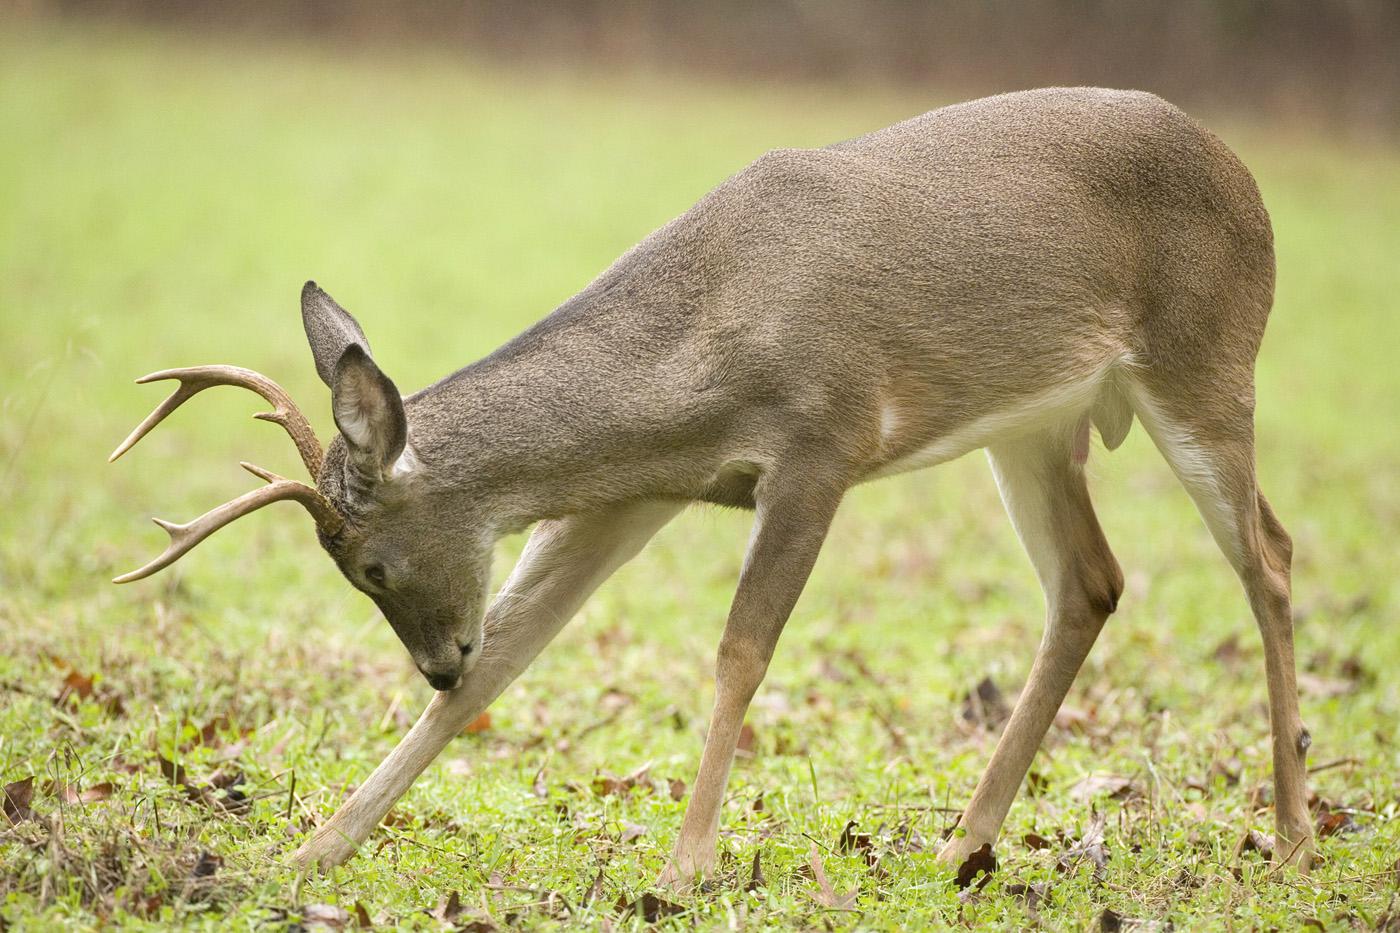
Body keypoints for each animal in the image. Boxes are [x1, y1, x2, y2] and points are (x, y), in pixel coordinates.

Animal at [112, 85, 1310, 879]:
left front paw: (686, 863)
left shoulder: (822, 441)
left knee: (1270, 554)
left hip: (1208, 363)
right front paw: (312, 851)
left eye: (370, 562)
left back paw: (1292, 834)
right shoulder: (634, 490)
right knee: (1091, 582)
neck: (703, 346)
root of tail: (1248, 179)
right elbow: (511, 660)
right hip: (1034, 425)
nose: (433, 663)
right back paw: (963, 842)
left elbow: (741, 648)